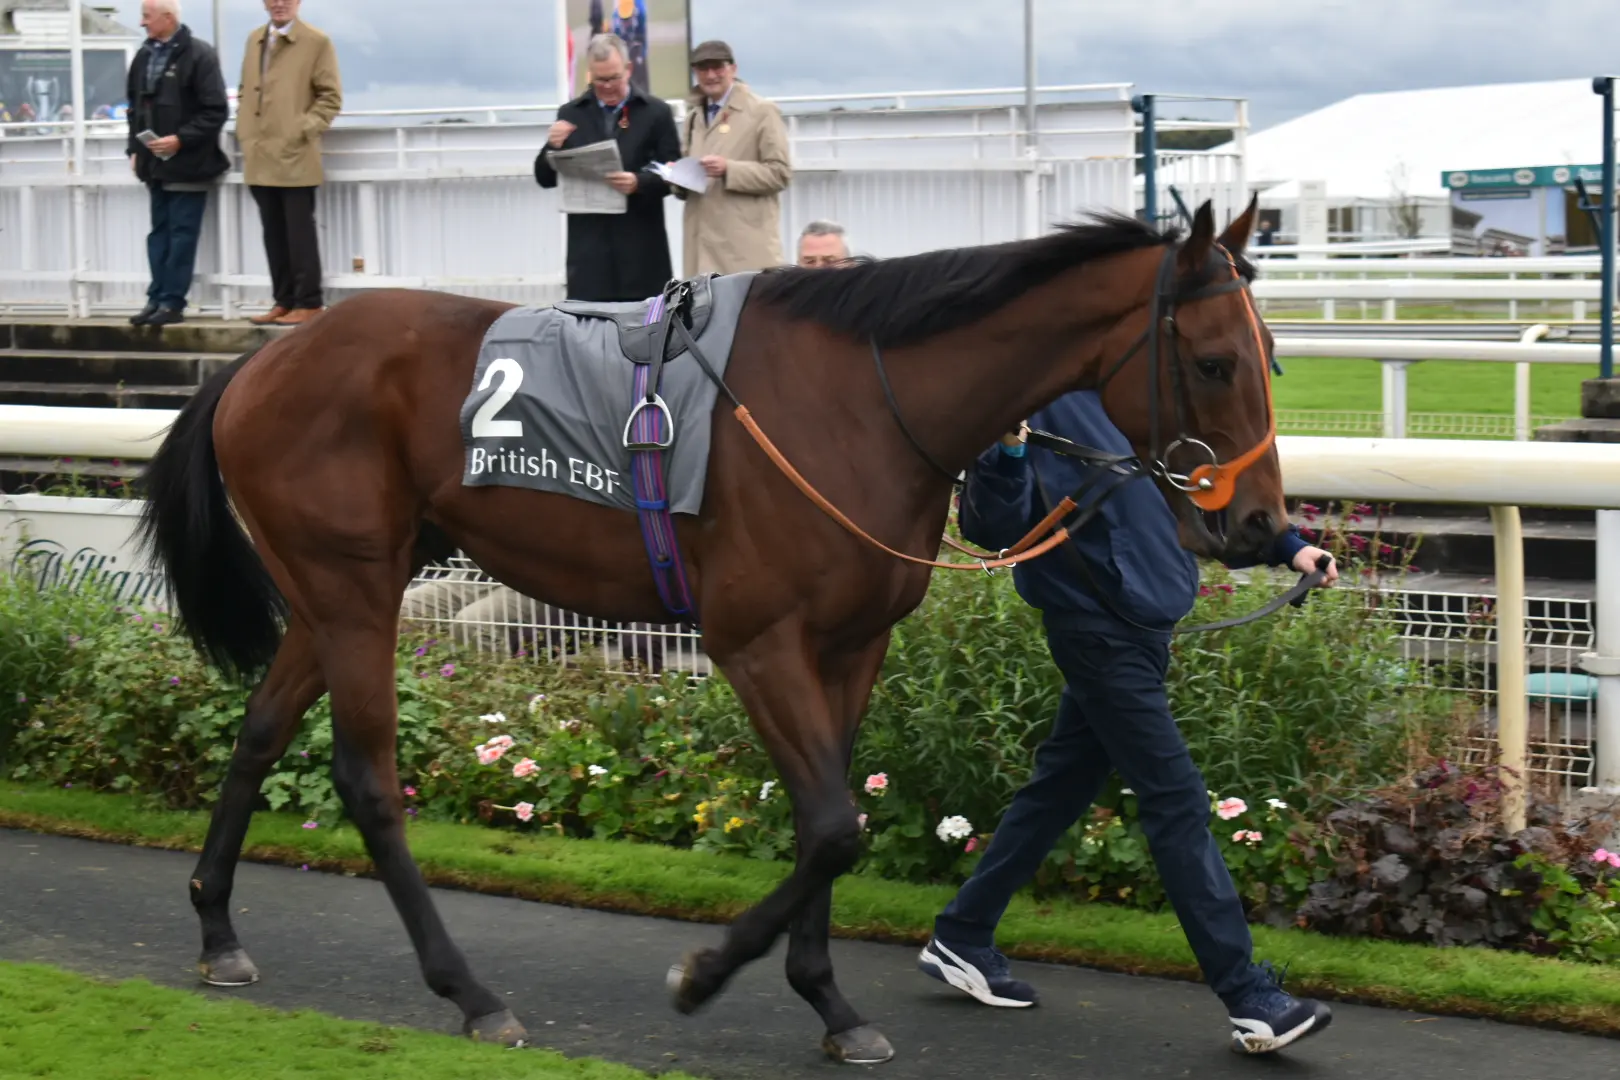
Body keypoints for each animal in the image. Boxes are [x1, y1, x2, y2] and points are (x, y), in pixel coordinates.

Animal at [132, 196, 1283, 1062]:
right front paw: (704, 974)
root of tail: (257, 364)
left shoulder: (852, 643)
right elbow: (833, 824)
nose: (1263, 523)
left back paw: (216, 928)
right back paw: (471, 993)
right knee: (368, 780)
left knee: (260, 732)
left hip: (336, 591)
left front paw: (831, 1006)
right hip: (354, 587)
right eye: (1215, 361)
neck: (865, 402)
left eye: (1271, 352)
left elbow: (833, 819)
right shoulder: (755, 638)